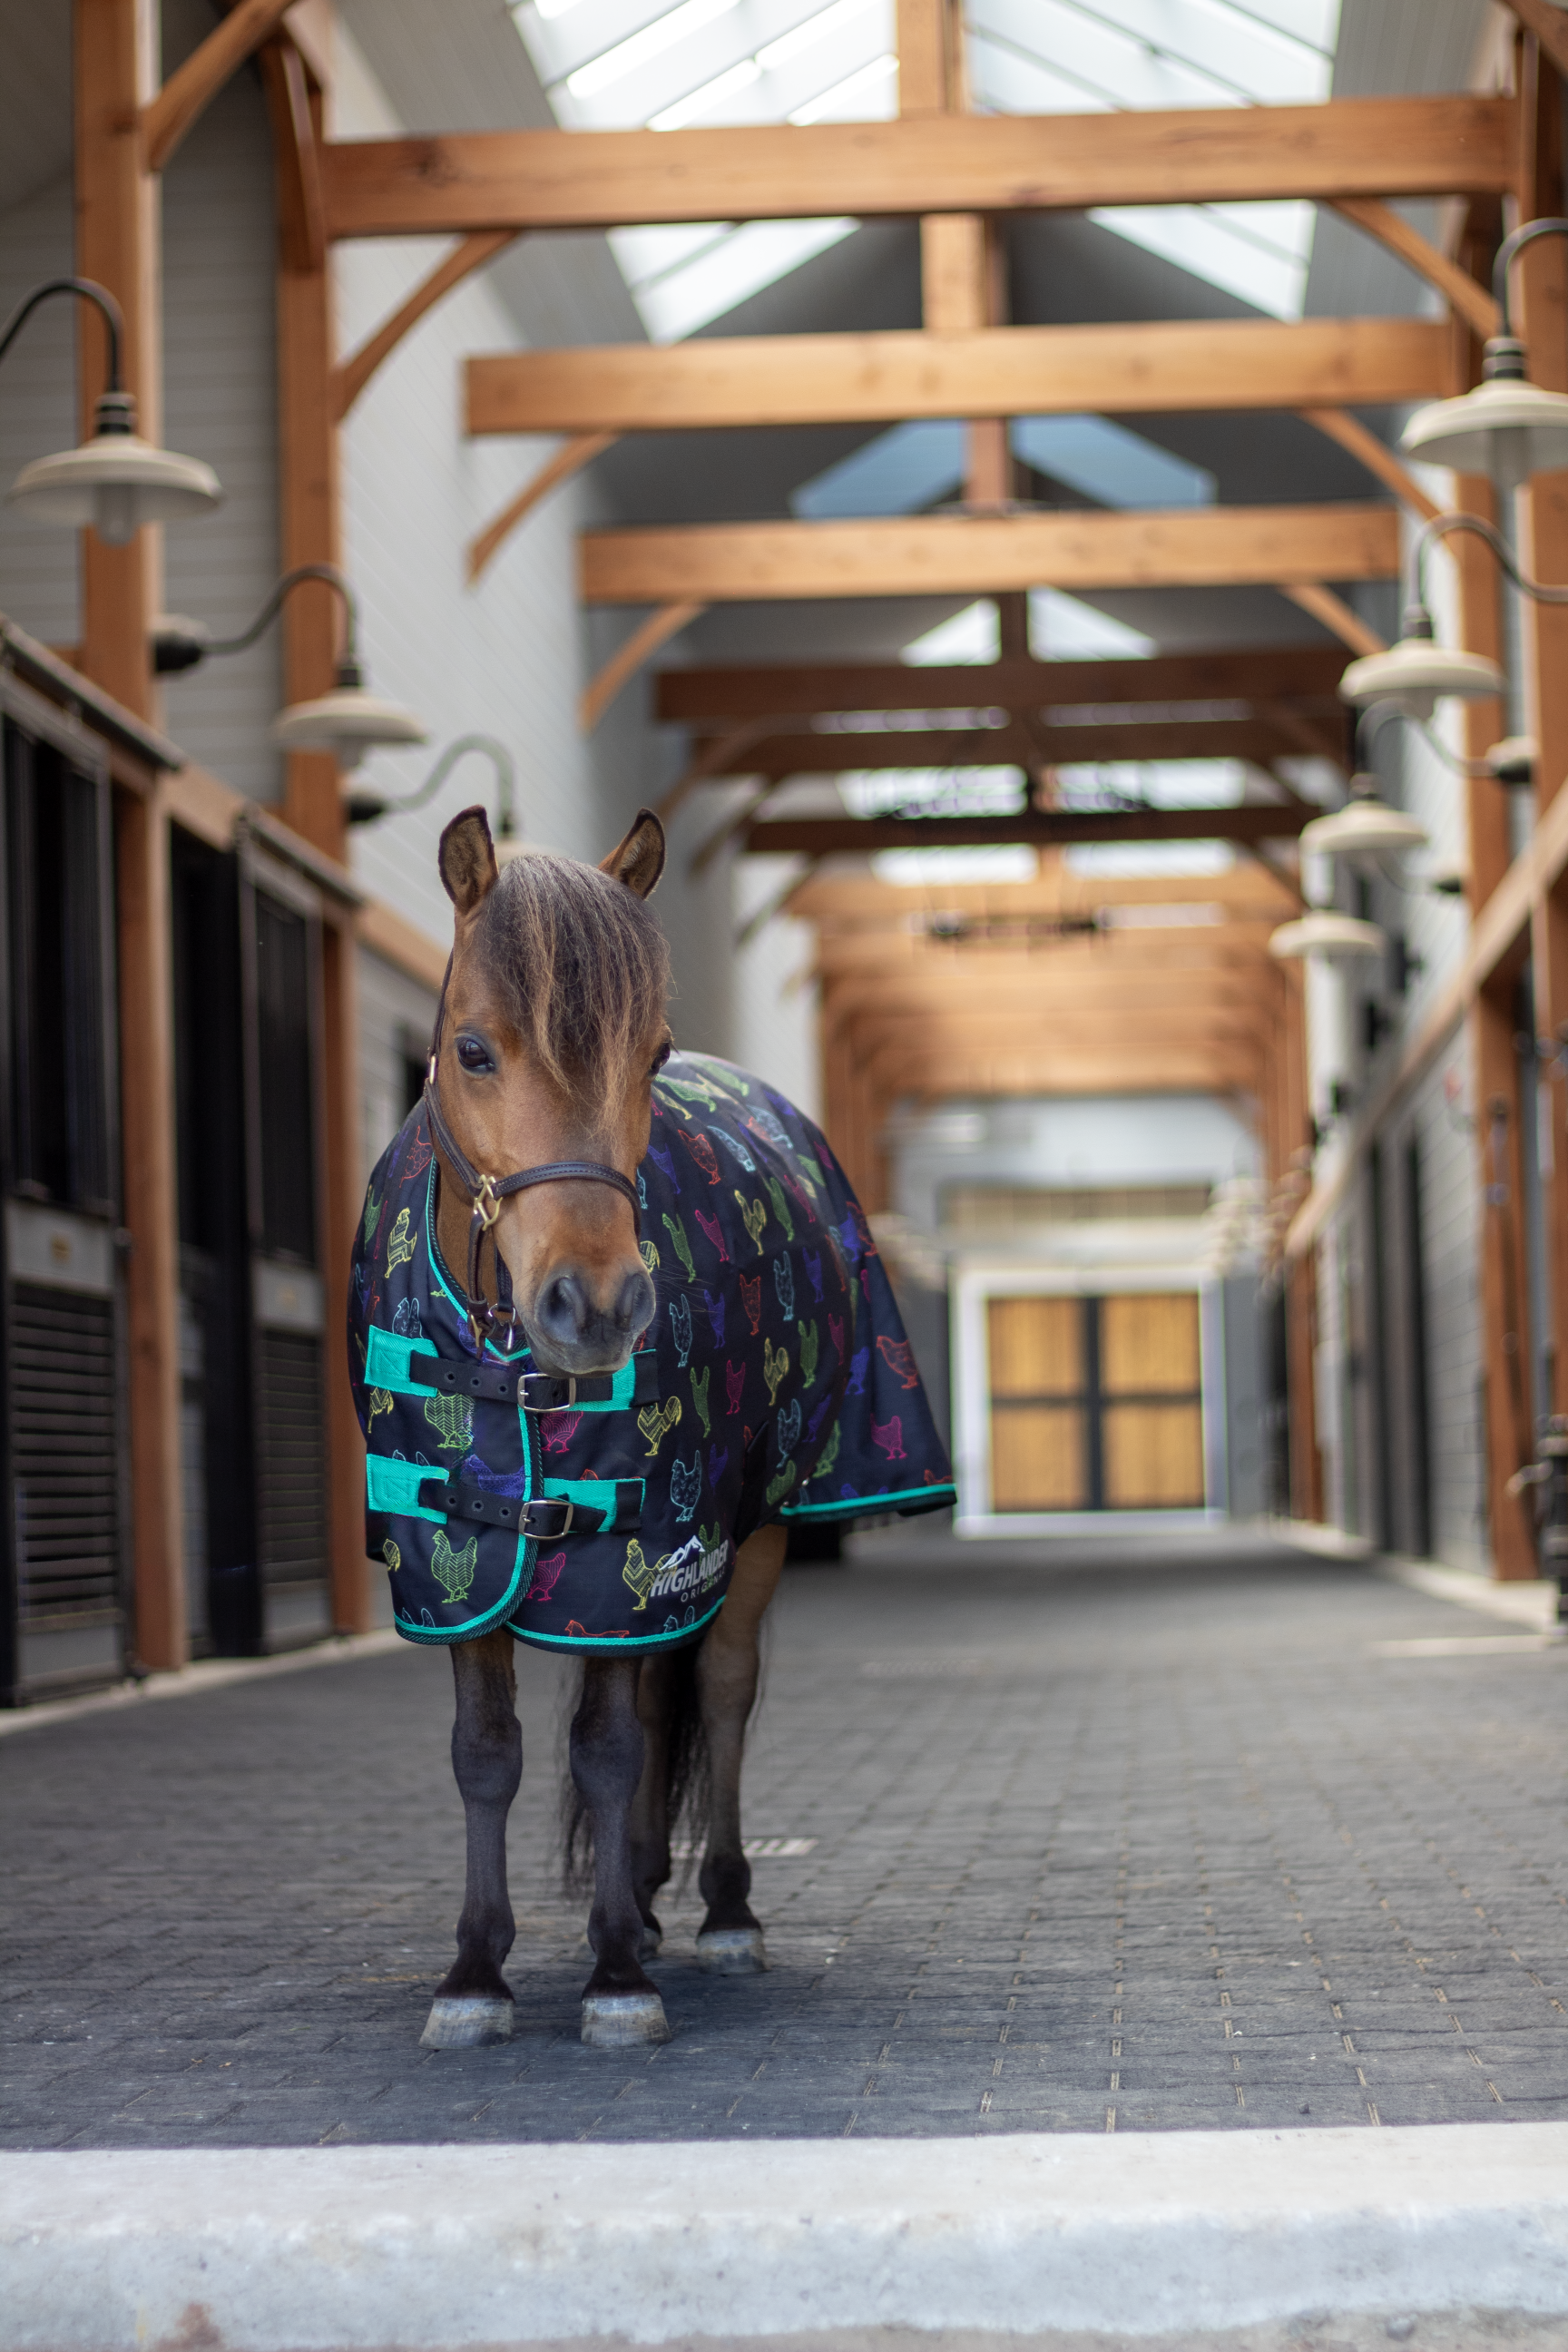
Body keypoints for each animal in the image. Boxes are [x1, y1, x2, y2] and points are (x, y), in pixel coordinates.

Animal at [349, 805, 954, 2051]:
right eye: (473, 1051)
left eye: (653, 1055)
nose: (598, 1306)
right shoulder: (456, 1555)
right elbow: (488, 1755)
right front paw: (475, 1972)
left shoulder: (628, 1541)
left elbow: (612, 1746)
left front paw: (618, 1973)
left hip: (758, 1522)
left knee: (717, 1692)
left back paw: (718, 1909)